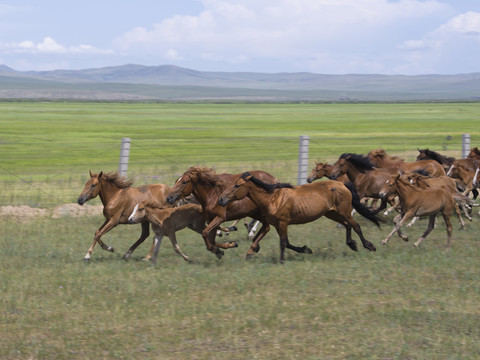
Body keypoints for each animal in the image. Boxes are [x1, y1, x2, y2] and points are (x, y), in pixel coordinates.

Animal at [219, 172, 380, 262]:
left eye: (237, 185)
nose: (221, 200)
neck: (273, 199)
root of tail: (342, 184)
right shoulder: (277, 224)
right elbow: (284, 242)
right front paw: (306, 249)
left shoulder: (283, 222)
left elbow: (284, 243)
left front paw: (282, 260)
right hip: (332, 213)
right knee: (347, 225)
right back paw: (352, 244)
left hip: (344, 211)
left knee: (356, 226)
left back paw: (369, 246)